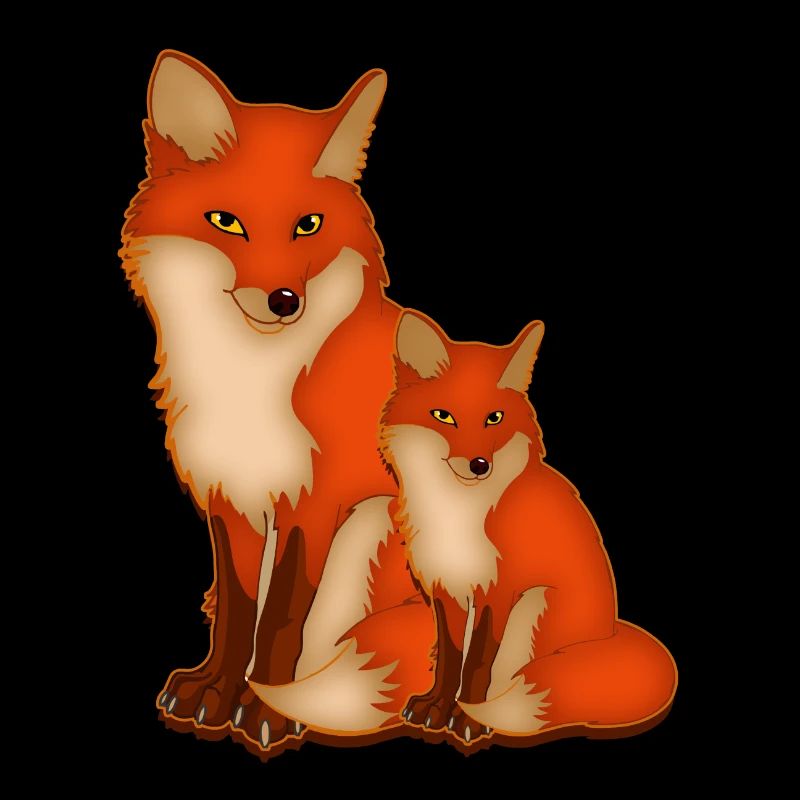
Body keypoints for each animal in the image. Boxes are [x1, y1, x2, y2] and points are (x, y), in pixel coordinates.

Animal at [120, 51, 423, 752]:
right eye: (226, 221)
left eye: (307, 225)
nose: (285, 301)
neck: (251, 381)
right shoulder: (230, 494)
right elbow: (237, 614)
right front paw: (213, 694)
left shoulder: (316, 500)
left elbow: (282, 618)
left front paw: (266, 710)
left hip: (374, 529)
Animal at [260, 310, 677, 747]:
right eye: (444, 416)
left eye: (494, 418)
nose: (479, 465)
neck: (457, 511)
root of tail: (611, 633)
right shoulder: (447, 588)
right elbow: (451, 658)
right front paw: (435, 708)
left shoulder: (499, 590)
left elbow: (478, 665)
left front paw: (466, 719)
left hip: (533, 606)